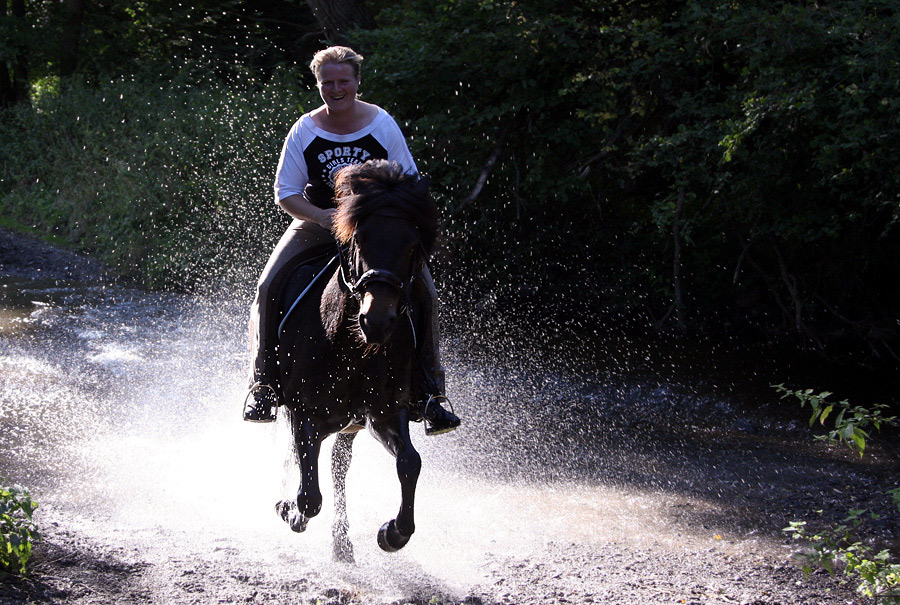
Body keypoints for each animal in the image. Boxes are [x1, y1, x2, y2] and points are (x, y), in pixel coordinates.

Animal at [276, 157, 442, 560]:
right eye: (359, 240)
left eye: (412, 246)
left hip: (349, 425)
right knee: (301, 464)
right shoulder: (303, 411)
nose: (376, 320)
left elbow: (409, 462)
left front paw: (393, 533)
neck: (354, 349)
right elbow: (308, 495)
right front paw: (289, 511)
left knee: (338, 468)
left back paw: (343, 546)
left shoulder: (384, 413)